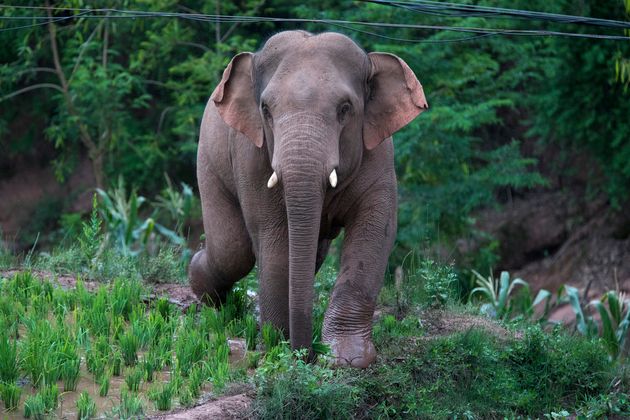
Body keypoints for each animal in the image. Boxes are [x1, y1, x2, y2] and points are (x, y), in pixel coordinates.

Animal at [191, 30, 430, 368]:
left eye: (345, 108)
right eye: (266, 109)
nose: (307, 355)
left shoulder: (380, 154)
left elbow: (375, 228)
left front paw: (347, 359)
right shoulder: (250, 155)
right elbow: (274, 235)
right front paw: (279, 347)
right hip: (208, 162)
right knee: (233, 250)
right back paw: (208, 293)